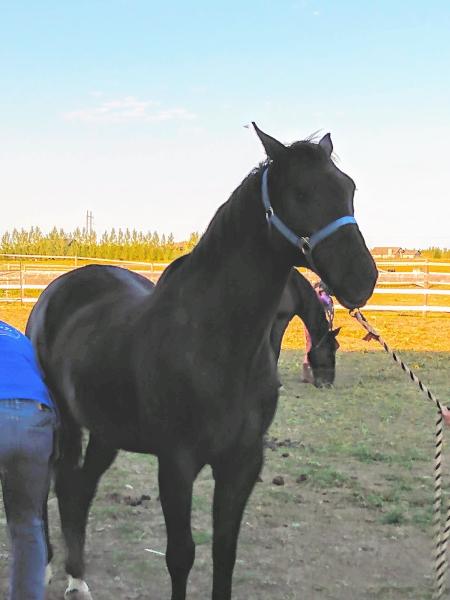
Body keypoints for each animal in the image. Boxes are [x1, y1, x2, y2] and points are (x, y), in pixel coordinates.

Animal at [26, 123, 378, 600]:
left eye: (349, 187)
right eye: (301, 191)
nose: (362, 278)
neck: (218, 345)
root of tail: (56, 291)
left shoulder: (242, 463)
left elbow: (225, 553)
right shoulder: (177, 463)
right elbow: (181, 555)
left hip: (105, 430)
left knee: (79, 489)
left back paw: (78, 577)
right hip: (62, 420)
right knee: (54, 483)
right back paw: (51, 570)